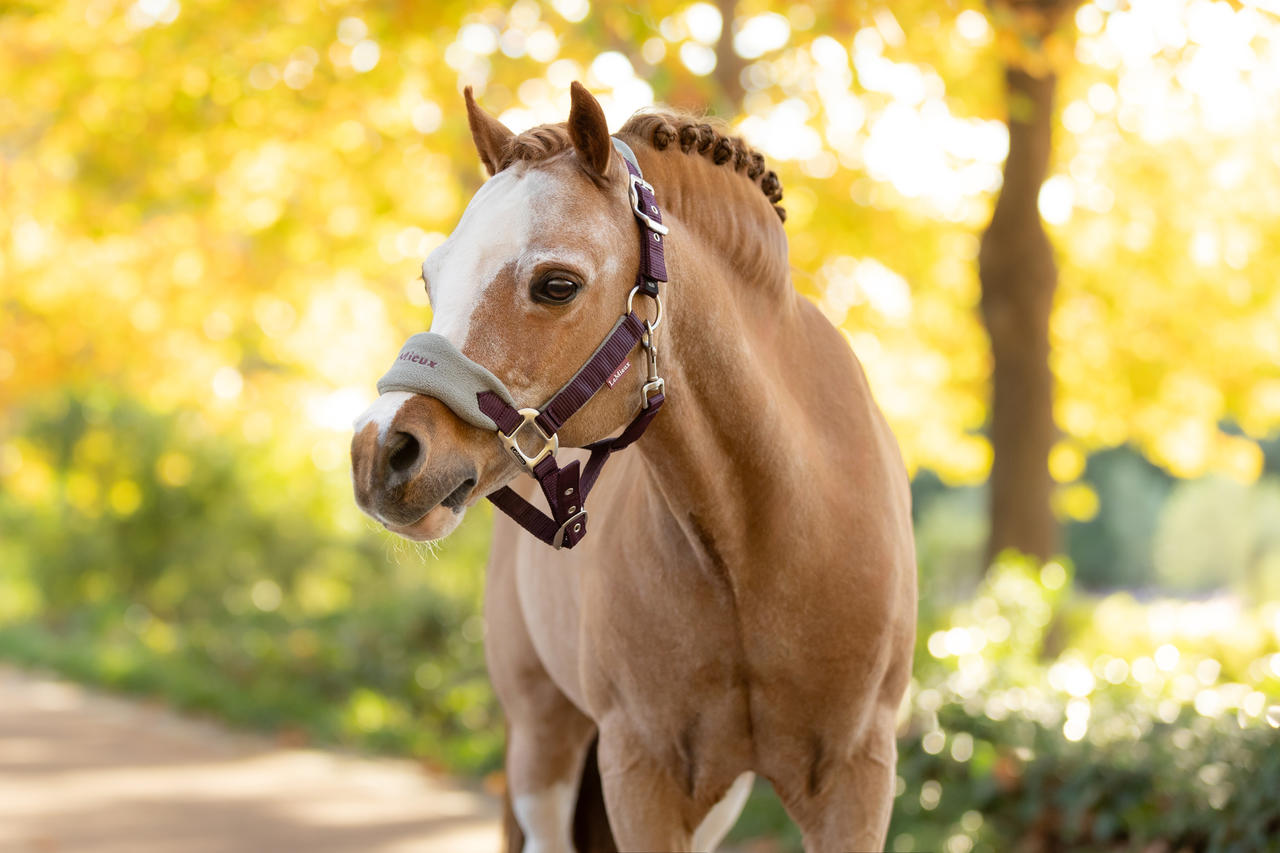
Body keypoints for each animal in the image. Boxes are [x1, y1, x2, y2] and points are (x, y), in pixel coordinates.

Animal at [350, 82, 917, 853]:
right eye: (431, 278)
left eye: (558, 284)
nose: (379, 451)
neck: (759, 547)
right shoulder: (641, 773)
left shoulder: (856, 781)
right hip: (543, 740)